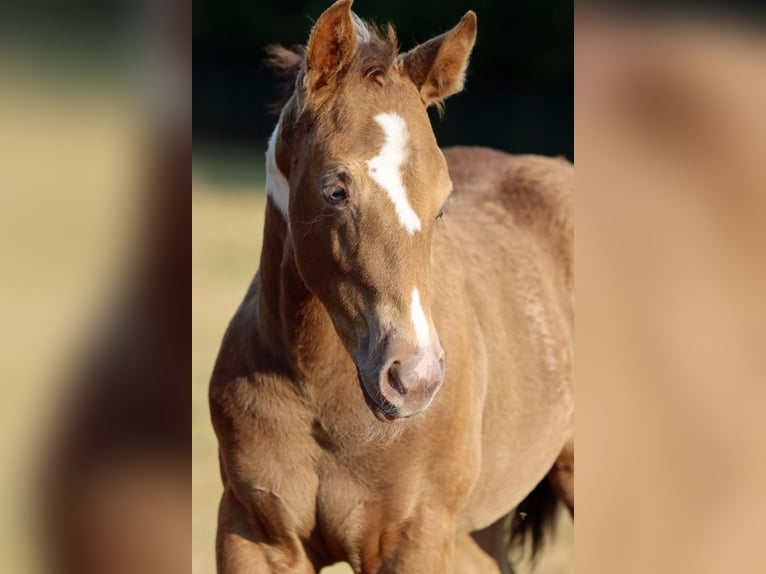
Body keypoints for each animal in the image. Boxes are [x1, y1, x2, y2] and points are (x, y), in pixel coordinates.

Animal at [209, 1, 574, 572]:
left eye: (443, 201)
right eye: (336, 190)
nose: (414, 379)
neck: (321, 394)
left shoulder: (414, 536)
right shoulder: (253, 533)